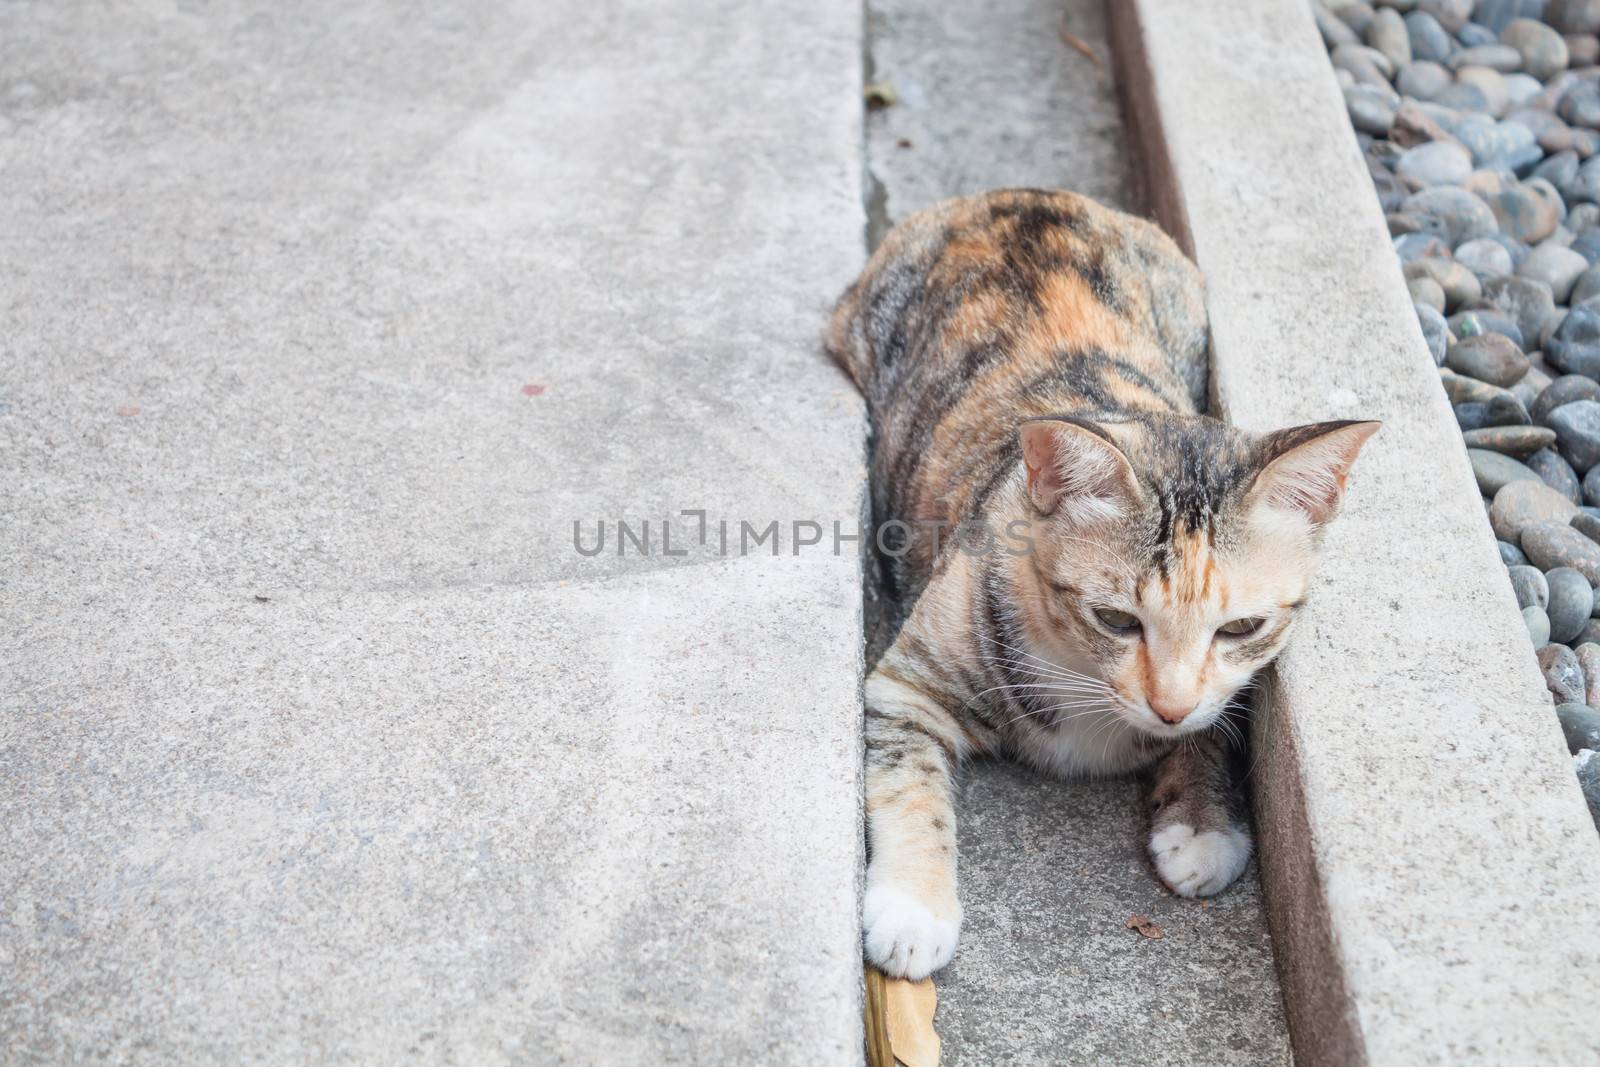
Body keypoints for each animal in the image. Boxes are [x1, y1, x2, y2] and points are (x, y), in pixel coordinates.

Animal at [825, 189, 1376, 979]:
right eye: (1116, 620)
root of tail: (1021, 196)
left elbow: (1215, 726)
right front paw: (912, 907)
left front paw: (1202, 824)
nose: (1169, 707)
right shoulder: (903, 687)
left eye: (1241, 627)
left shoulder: (1221, 692)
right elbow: (909, 781)